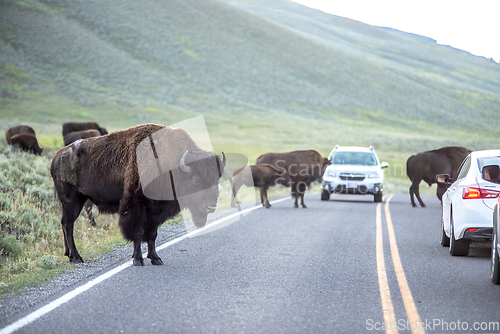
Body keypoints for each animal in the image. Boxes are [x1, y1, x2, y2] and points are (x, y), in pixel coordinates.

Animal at [49, 123, 226, 266]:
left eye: (216, 180)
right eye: (196, 181)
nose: (211, 206)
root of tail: (57, 156)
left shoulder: (155, 212)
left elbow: (152, 235)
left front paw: (156, 259)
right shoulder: (136, 207)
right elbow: (138, 233)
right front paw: (138, 259)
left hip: (78, 199)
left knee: (65, 223)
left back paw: (69, 254)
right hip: (71, 200)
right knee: (68, 224)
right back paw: (76, 258)